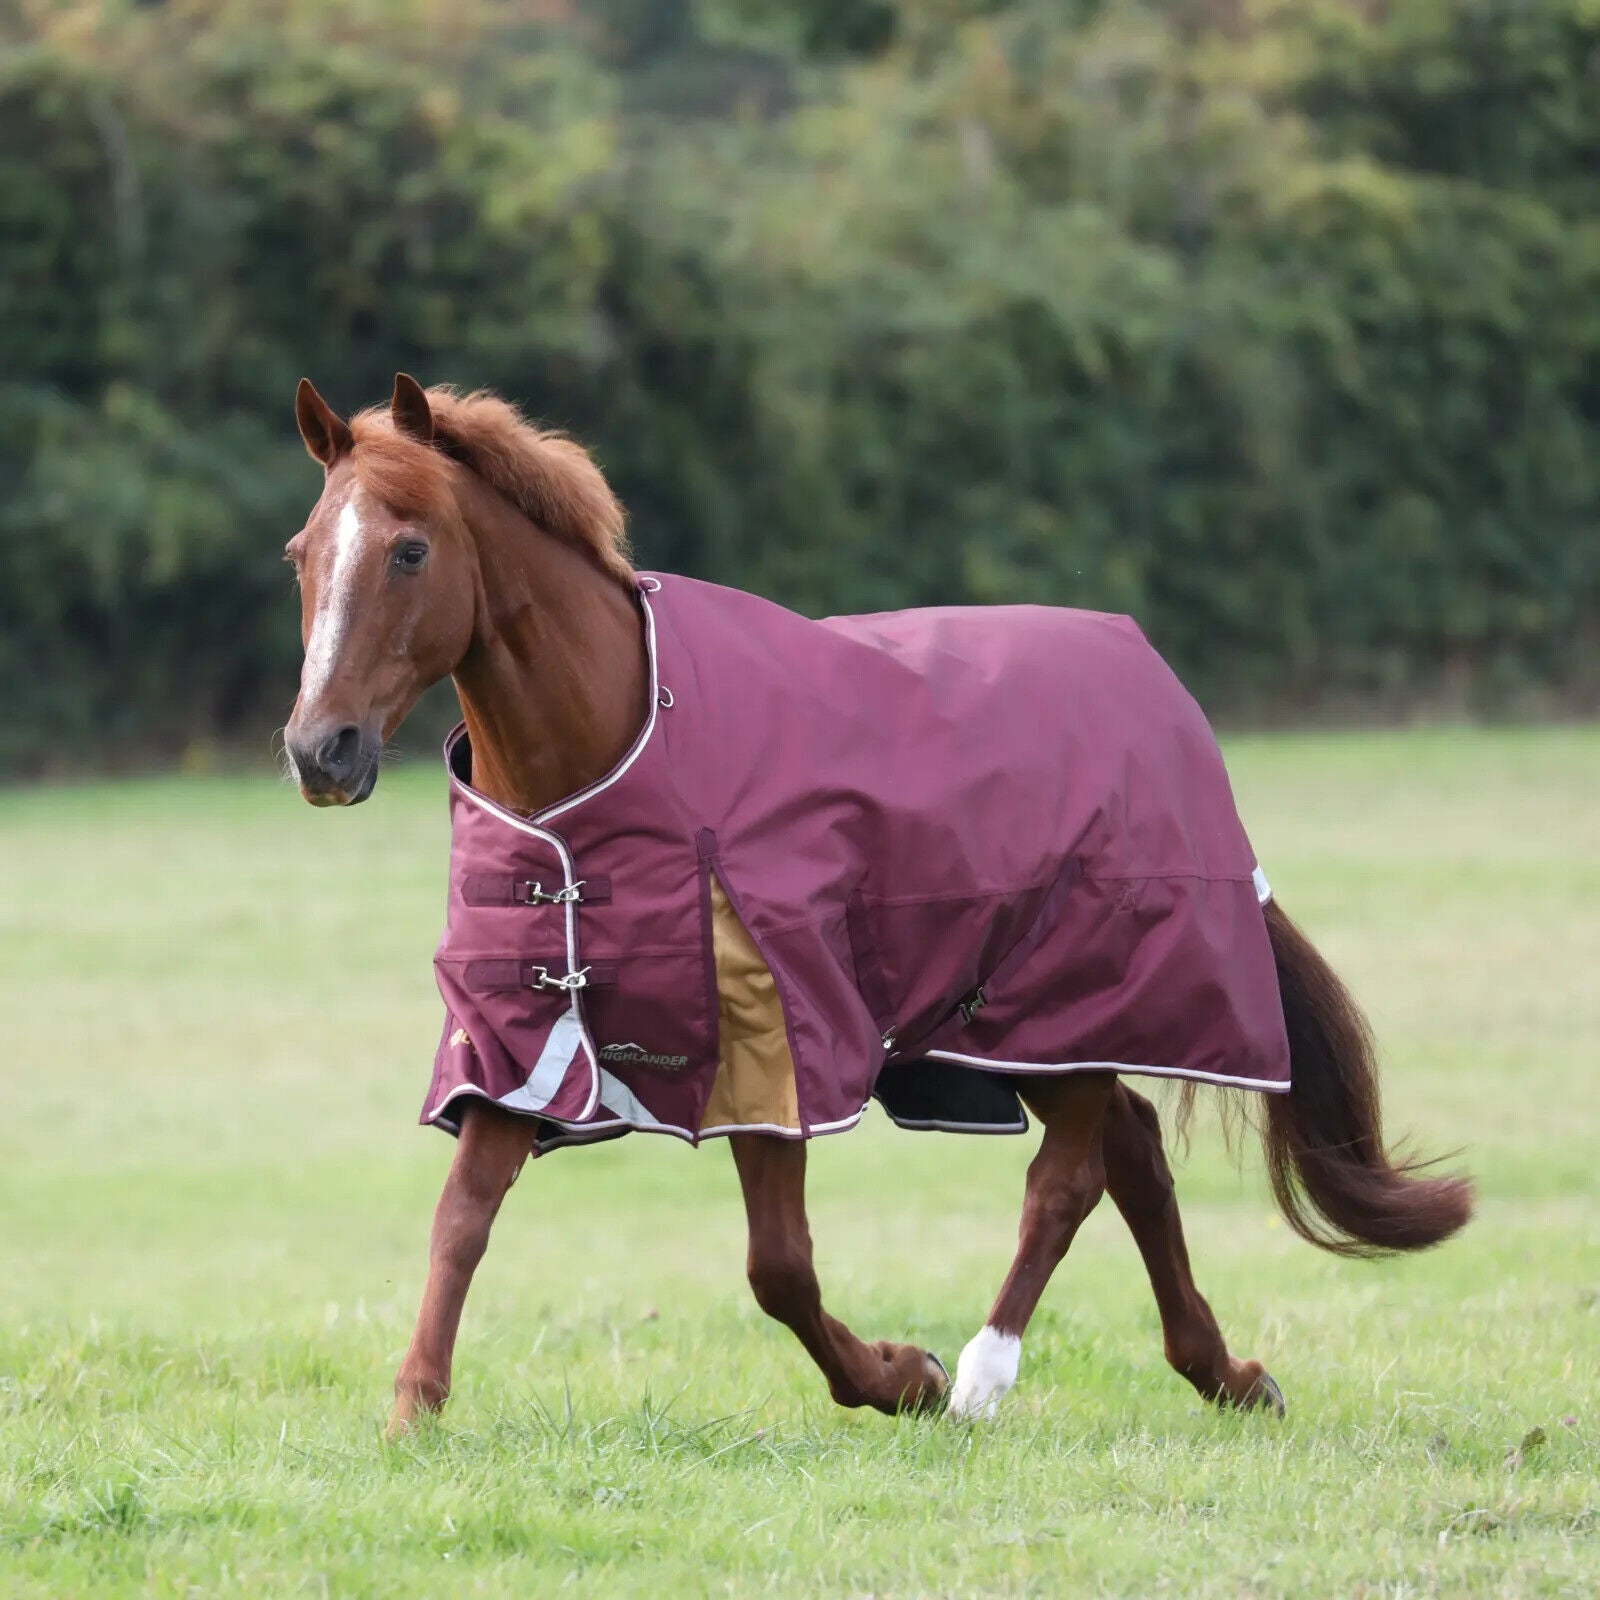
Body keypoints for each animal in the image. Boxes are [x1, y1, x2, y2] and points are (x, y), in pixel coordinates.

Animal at [282, 374, 1473, 1437]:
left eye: (410, 550)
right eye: (303, 553)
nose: (318, 750)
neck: (613, 757)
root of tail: (1160, 686)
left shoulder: (773, 1033)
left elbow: (778, 1269)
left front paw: (903, 1376)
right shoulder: (523, 1034)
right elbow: (461, 1219)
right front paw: (413, 1409)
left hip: (1072, 990)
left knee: (1069, 1176)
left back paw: (987, 1374)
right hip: (1013, 1029)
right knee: (1130, 1149)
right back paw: (1224, 1375)